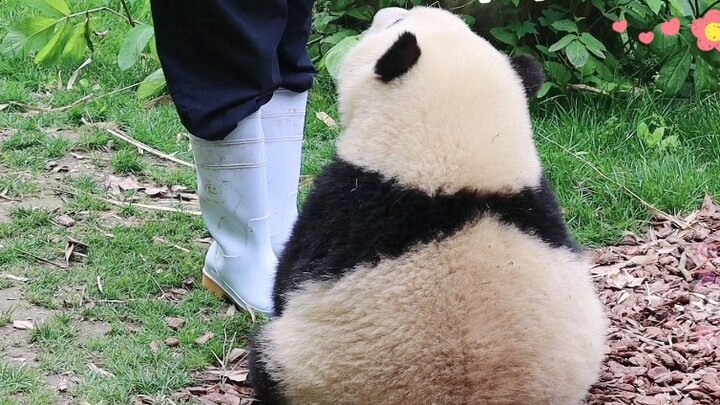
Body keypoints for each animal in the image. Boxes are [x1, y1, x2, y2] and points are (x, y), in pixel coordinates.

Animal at [249, 6, 607, 405]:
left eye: (394, 24)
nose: (387, 10)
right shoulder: (542, 206)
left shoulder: (344, 208)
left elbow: (288, 279)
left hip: (304, 368)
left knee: (266, 360)